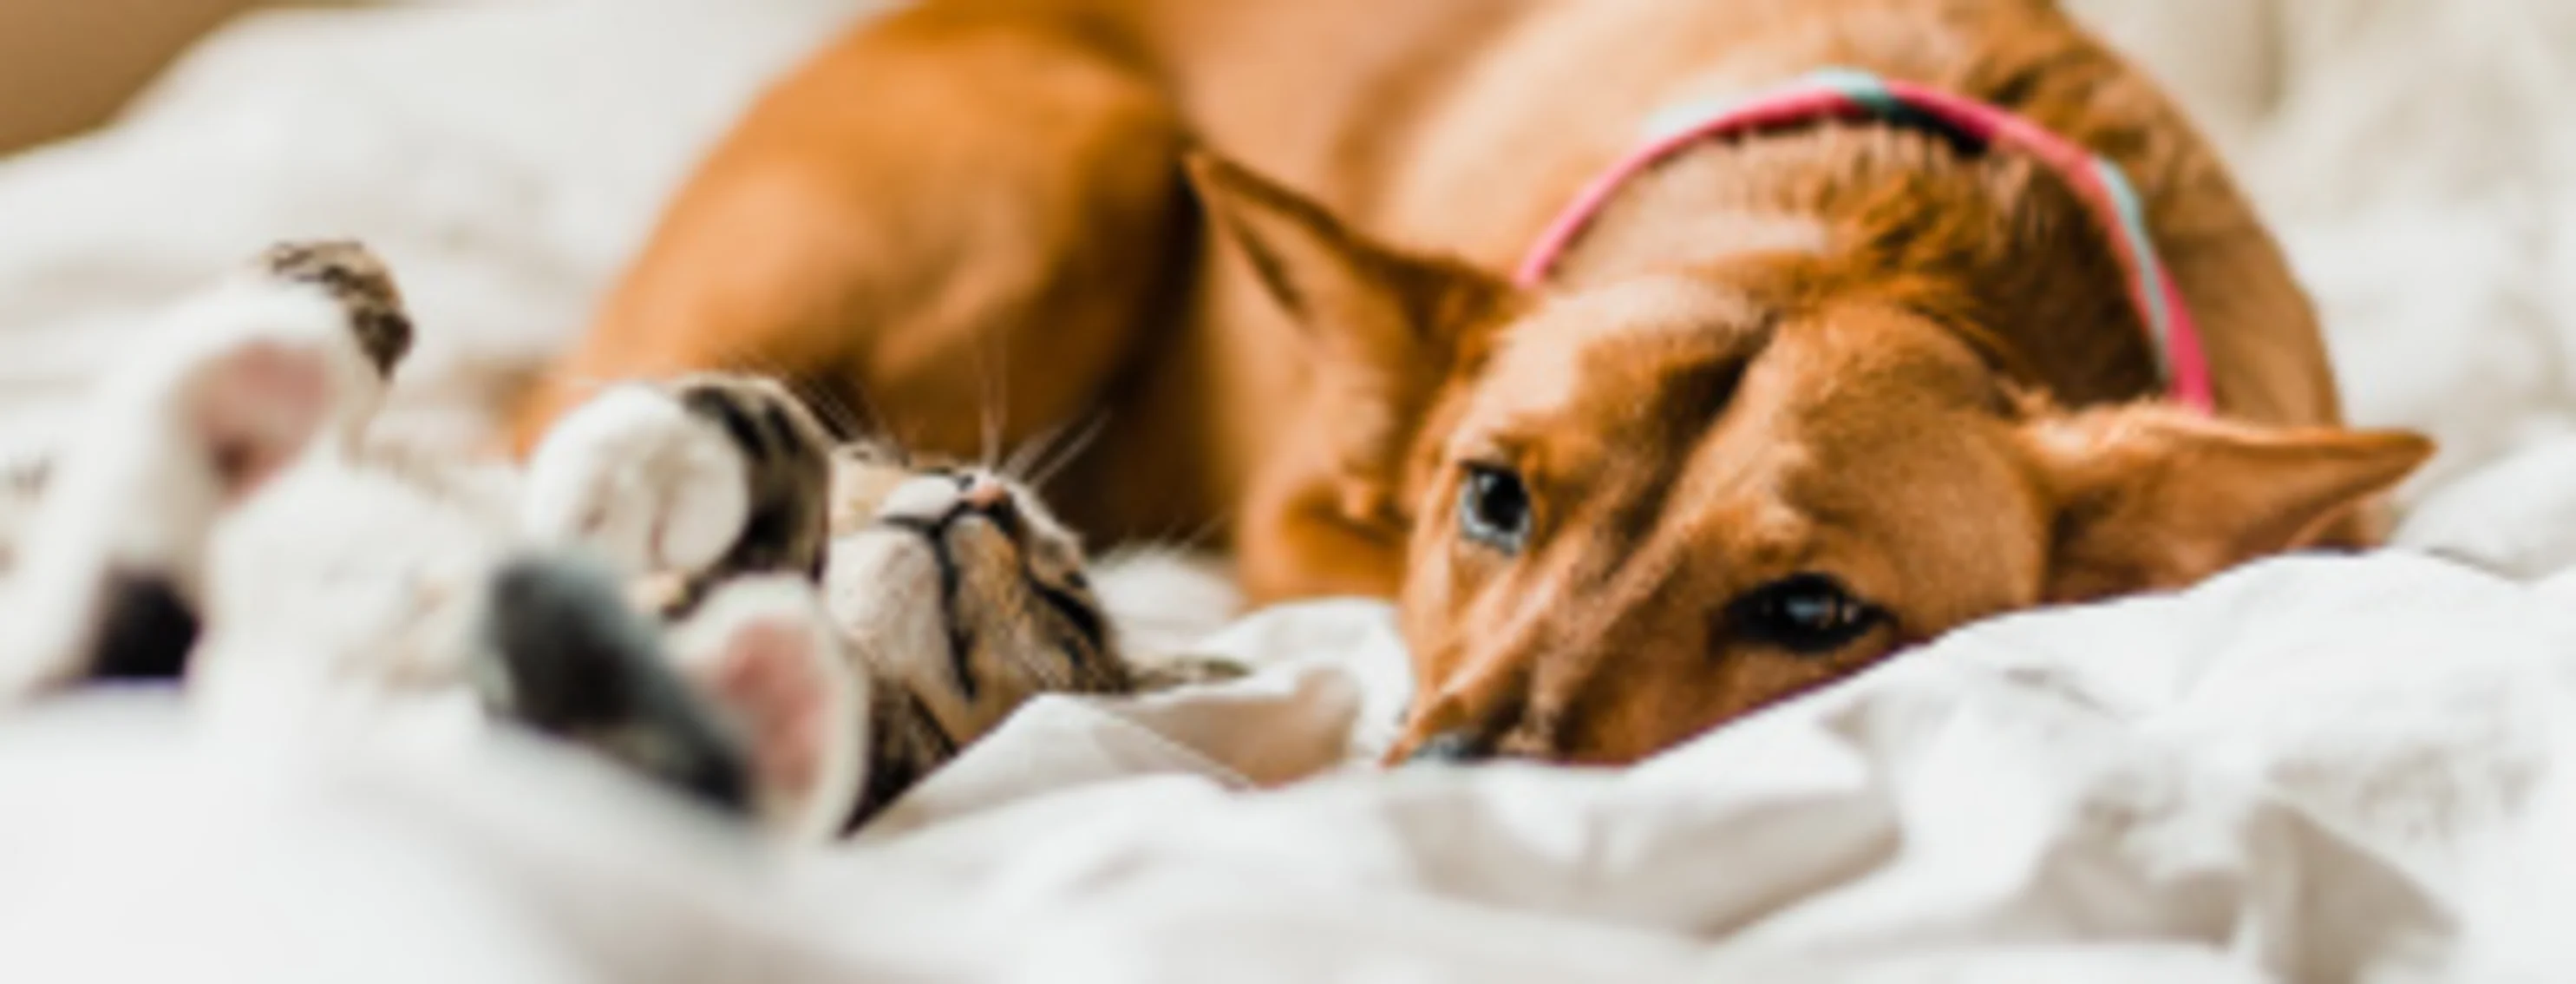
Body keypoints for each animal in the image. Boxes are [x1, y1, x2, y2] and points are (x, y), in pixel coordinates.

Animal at [517, 0, 2431, 762]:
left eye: (1815, 611)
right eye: (1493, 499)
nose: (1448, 775)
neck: (1881, 221)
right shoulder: (1308, 517)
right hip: (1070, 159)